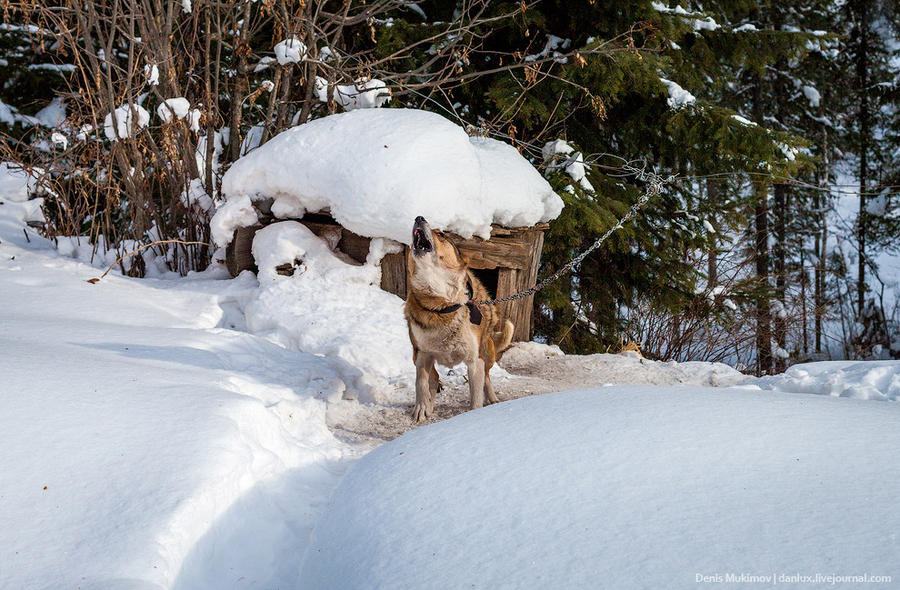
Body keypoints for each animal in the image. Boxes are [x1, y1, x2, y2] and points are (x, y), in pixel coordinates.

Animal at [402, 215, 510, 424]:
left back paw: (492, 398)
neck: (442, 307)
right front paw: (421, 408)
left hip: (487, 352)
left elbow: (476, 395)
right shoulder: (421, 354)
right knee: (434, 377)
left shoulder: (475, 360)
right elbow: (421, 382)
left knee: (487, 377)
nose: (419, 217)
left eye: (441, 234)